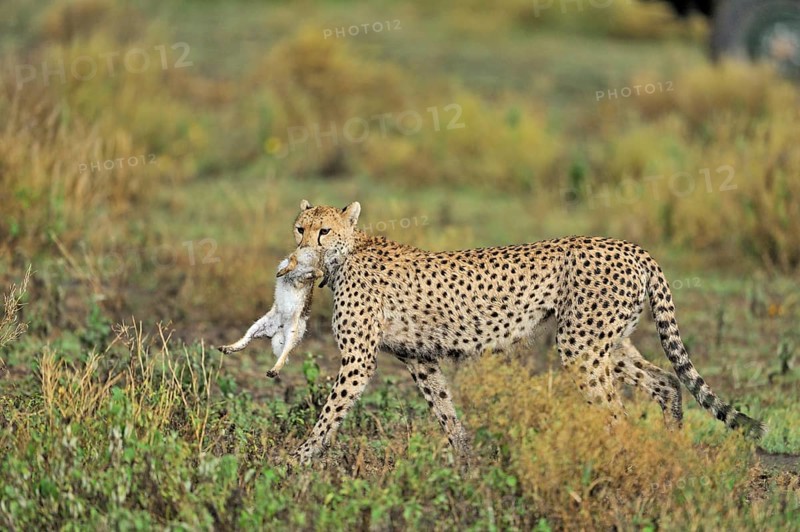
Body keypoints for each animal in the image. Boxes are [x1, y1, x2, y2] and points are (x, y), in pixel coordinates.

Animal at [288, 199, 766, 462]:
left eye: (324, 230)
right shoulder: (420, 359)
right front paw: (467, 462)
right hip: (606, 341)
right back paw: (670, 447)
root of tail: (631, 247)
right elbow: (446, 412)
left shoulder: (358, 360)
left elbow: (330, 413)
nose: (300, 251)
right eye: (299, 228)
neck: (346, 252)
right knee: (666, 381)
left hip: (579, 345)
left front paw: (297, 460)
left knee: (618, 414)